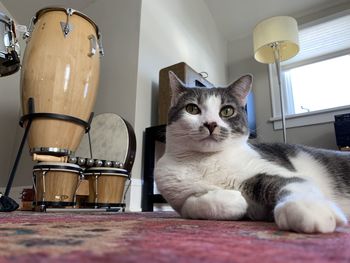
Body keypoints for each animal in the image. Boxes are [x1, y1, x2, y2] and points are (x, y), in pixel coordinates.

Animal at [156, 71, 350, 234]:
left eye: (227, 111)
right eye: (192, 109)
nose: (210, 124)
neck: (205, 160)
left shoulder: (273, 169)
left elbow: (291, 183)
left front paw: (308, 209)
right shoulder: (178, 199)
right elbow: (191, 205)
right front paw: (234, 199)